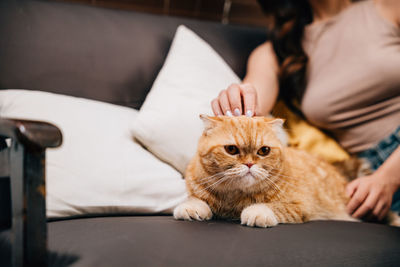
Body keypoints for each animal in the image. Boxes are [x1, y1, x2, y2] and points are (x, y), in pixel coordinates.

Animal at [173, 115, 400, 228]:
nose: (249, 164)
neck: (234, 197)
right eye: (231, 150)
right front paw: (191, 207)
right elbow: (196, 200)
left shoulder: (299, 206)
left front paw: (256, 212)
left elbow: (271, 207)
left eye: (263, 151)